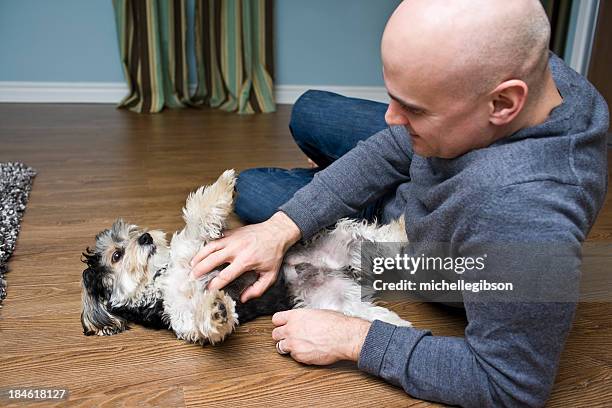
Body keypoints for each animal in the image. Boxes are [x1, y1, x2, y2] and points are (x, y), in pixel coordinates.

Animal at [79, 169, 408, 344]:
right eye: (117, 255)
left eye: (133, 232)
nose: (146, 237)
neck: (162, 275)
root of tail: (341, 272)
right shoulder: (181, 317)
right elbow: (199, 318)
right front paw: (217, 310)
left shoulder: (201, 247)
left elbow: (198, 216)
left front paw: (224, 185)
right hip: (333, 303)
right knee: (365, 311)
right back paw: (397, 326)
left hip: (339, 238)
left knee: (374, 236)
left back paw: (404, 227)